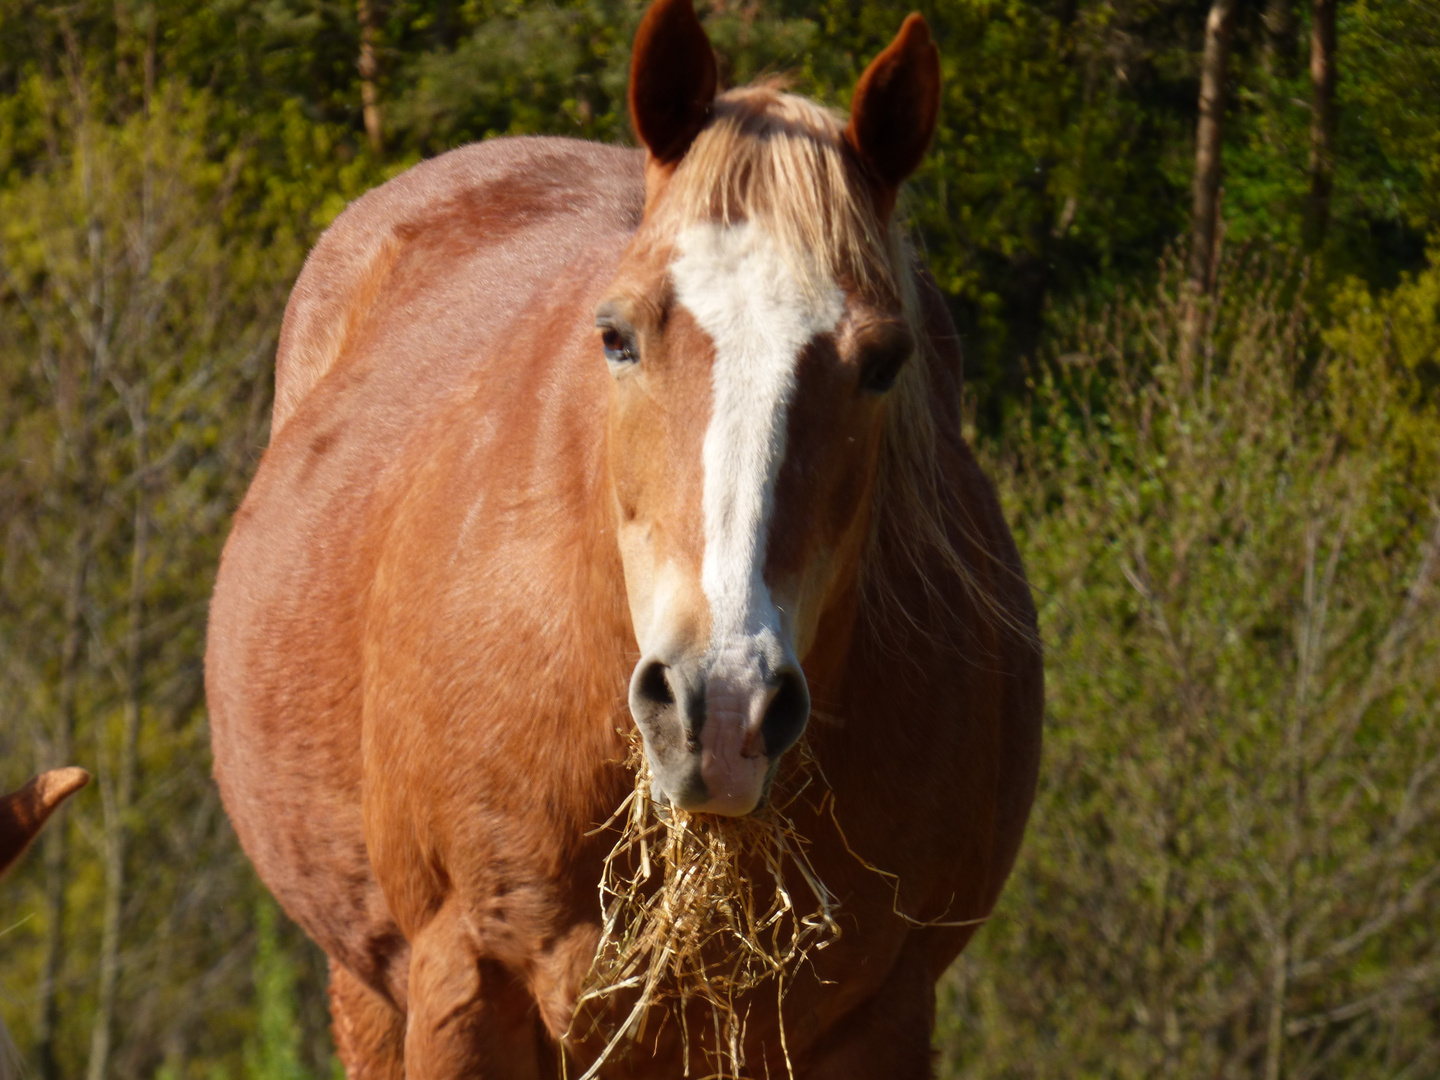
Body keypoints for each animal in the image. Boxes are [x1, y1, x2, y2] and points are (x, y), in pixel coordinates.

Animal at [205, 4, 1036, 1077]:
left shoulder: (880, 1014)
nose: (720, 706)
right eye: (617, 336)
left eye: (886, 362)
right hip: (368, 984)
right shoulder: (464, 982)